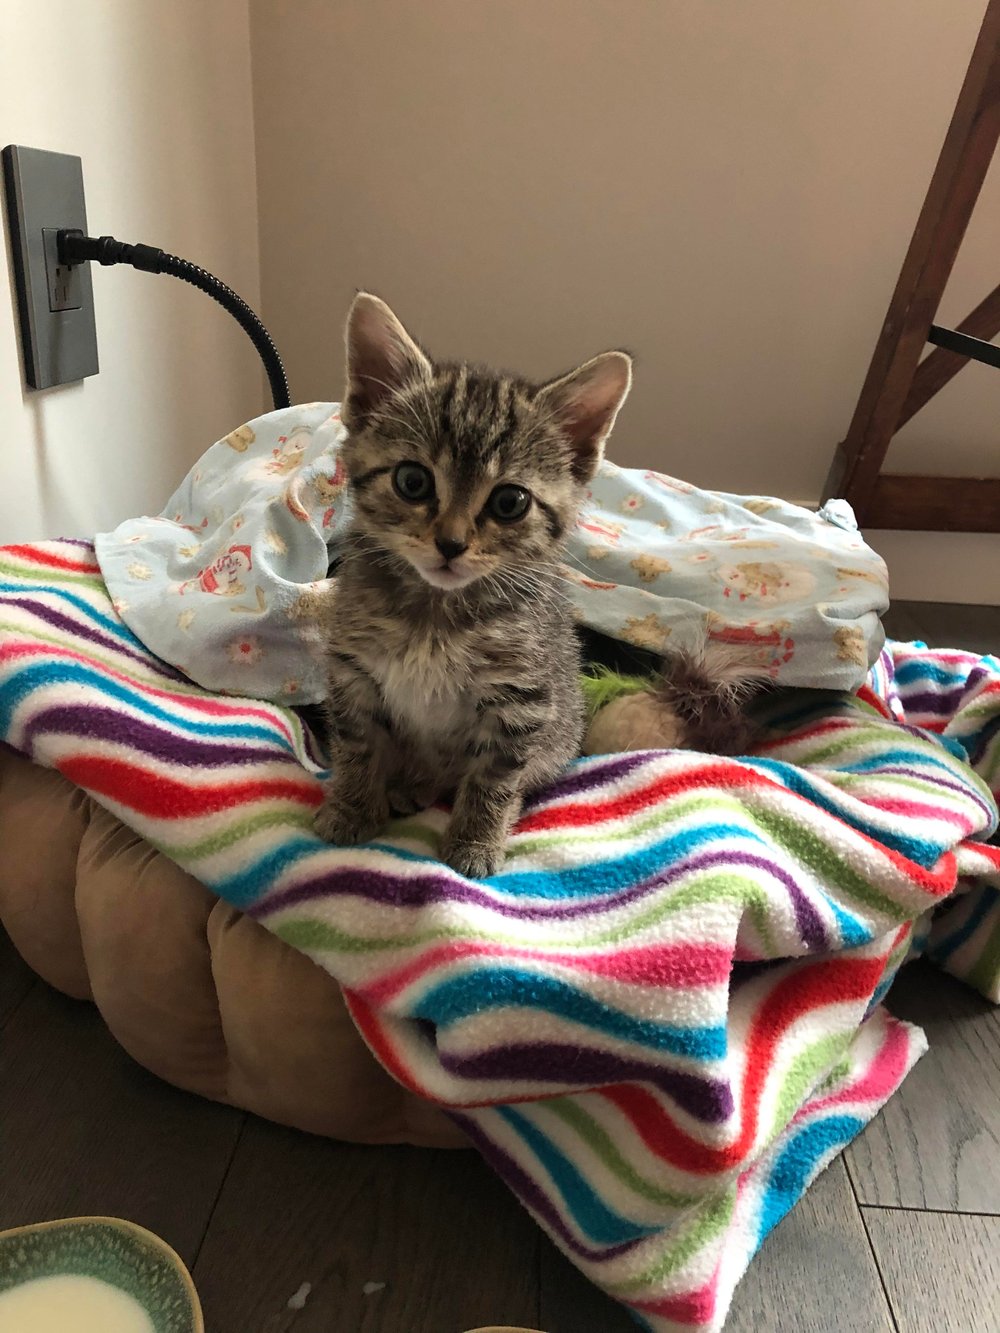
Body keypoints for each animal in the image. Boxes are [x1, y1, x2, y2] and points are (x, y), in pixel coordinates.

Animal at [313, 293, 632, 877]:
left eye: (510, 502)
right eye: (412, 481)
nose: (451, 543)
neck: (434, 611)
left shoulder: (521, 701)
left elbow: (494, 778)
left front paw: (476, 841)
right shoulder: (353, 673)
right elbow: (357, 746)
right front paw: (351, 808)